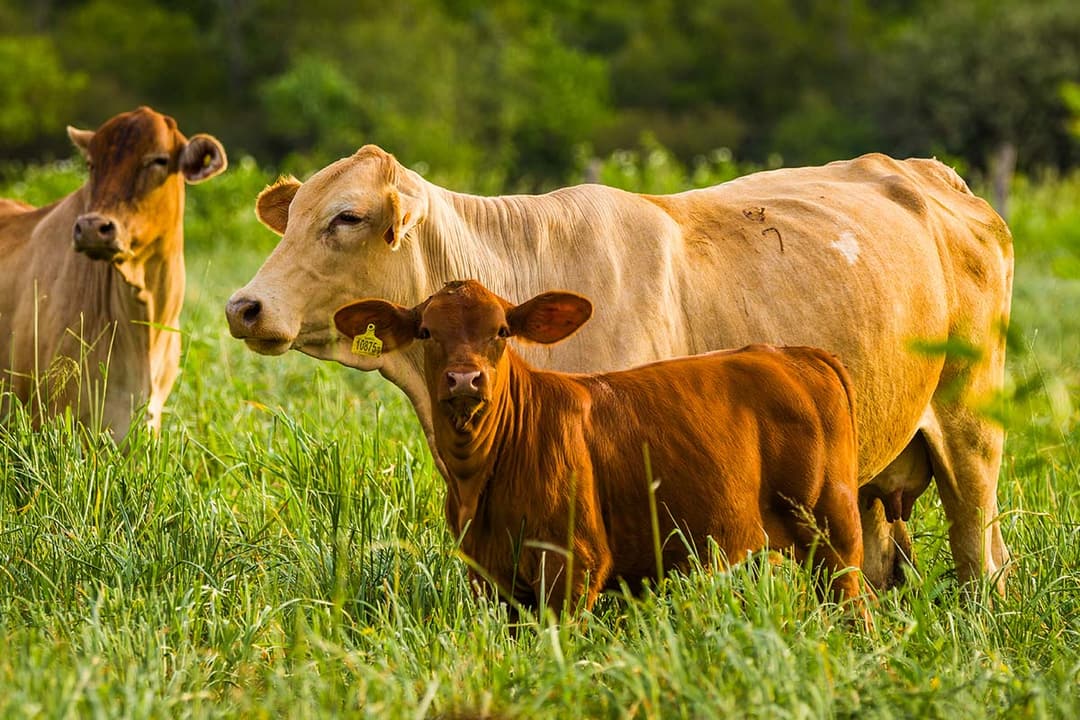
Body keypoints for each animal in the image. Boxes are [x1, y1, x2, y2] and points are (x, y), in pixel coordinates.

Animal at [333, 279, 869, 620]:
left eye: (502, 331)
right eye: (426, 331)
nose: (465, 379)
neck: (479, 481)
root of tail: (795, 353)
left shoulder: (573, 563)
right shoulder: (487, 574)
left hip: (832, 531)